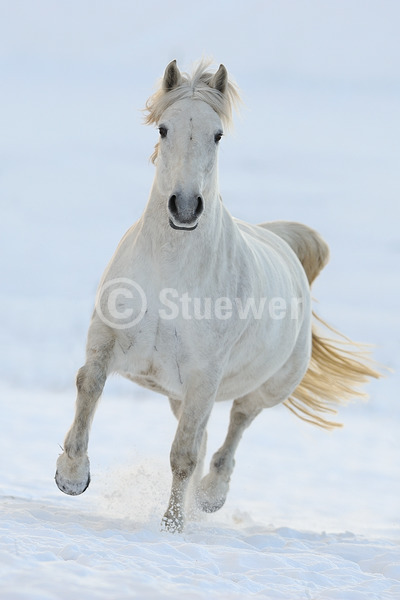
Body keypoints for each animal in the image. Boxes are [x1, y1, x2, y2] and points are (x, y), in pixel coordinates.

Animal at [54, 59, 380, 528]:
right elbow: (90, 383)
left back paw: (210, 497)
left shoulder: (204, 376)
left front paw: (173, 527)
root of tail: (279, 241)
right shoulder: (108, 339)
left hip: (265, 387)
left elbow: (184, 456)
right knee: (209, 435)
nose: (185, 207)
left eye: (218, 134)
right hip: (180, 394)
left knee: (235, 427)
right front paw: (72, 474)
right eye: (164, 129)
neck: (171, 275)